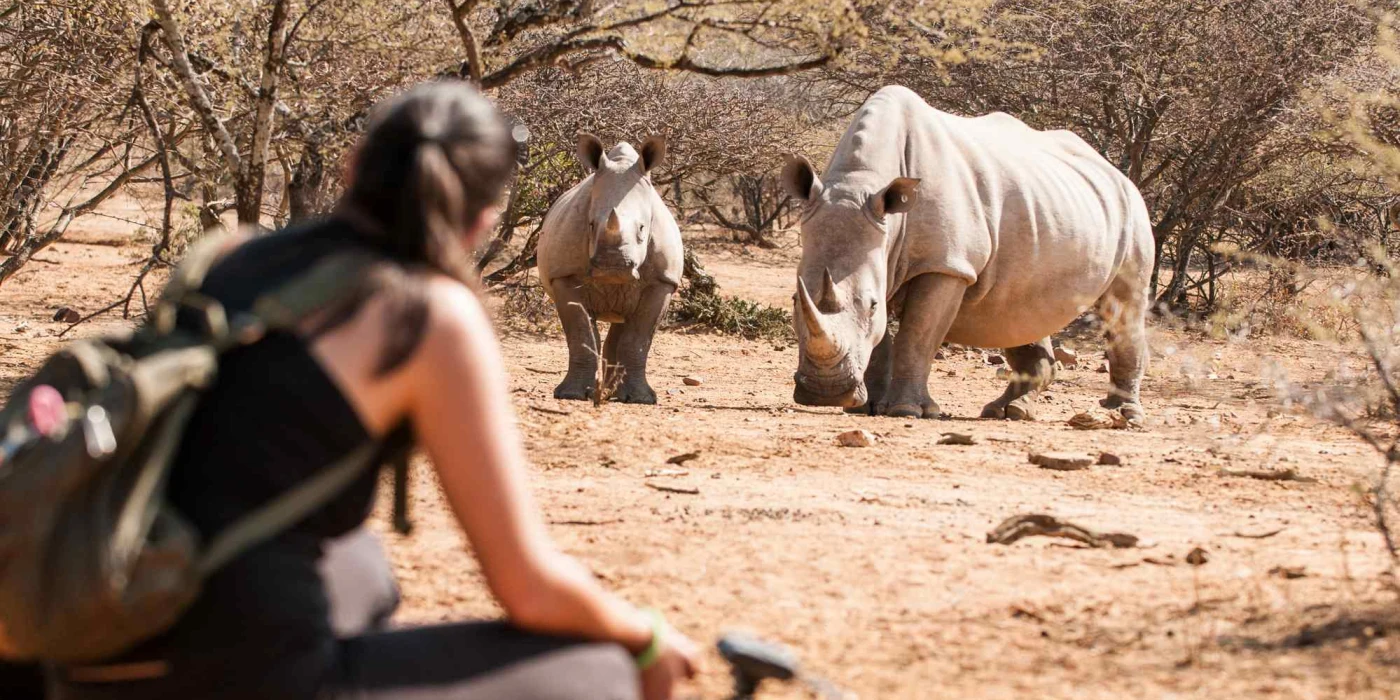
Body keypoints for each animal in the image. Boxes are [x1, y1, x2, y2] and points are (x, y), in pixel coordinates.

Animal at [537, 134, 682, 404]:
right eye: (591, 226)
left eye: (642, 228)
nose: (613, 265)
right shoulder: (565, 275)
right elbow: (581, 334)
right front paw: (570, 394)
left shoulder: (663, 281)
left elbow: (637, 340)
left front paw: (642, 399)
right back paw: (607, 391)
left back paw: (615, 392)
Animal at [782, 86, 1153, 422]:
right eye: (795, 300)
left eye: (871, 305)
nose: (824, 393)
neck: (862, 182)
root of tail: (1115, 172)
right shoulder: (882, 253)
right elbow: (882, 340)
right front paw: (865, 407)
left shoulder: (947, 264)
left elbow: (917, 336)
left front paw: (908, 410)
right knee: (1020, 308)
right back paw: (1008, 411)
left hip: (1133, 211)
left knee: (1124, 305)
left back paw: (1125, 415)